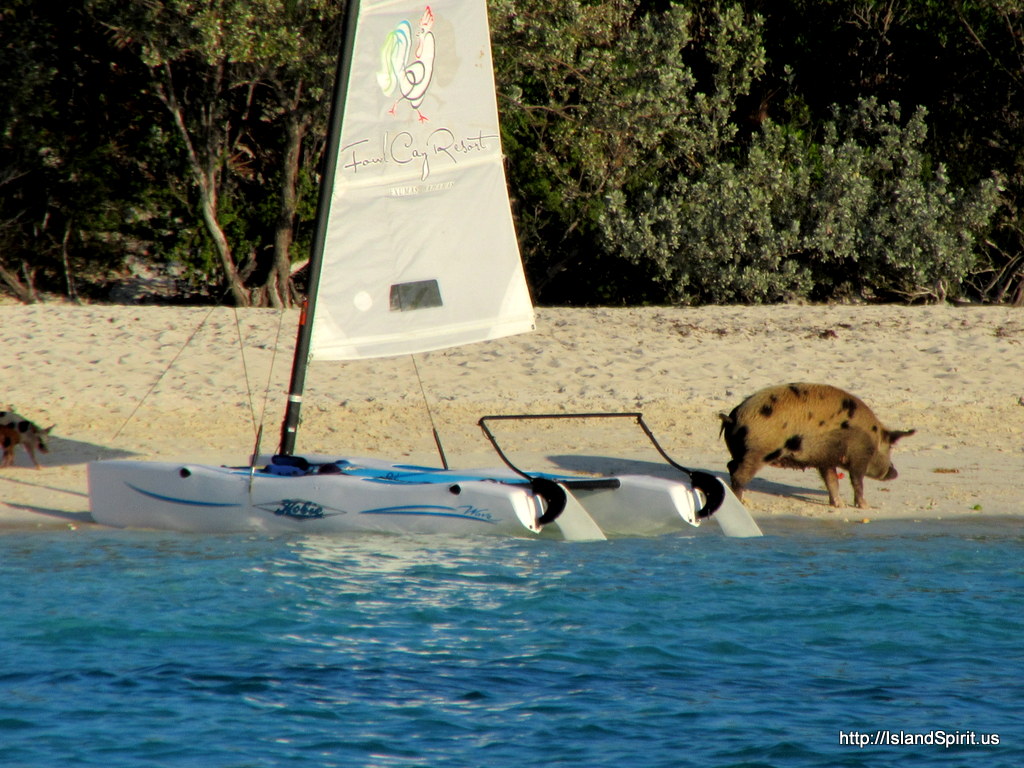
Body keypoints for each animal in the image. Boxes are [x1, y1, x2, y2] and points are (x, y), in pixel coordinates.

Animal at [719, 383, 914, 509]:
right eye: (889, 449)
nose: (894, 472)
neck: (872, 437)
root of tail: (733, 417)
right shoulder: (858, 457)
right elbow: (857, 481)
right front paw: (865, 507)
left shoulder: (826, 460)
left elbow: (832, 481)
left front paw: (839, 505)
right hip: (757, 452)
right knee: (739, 475)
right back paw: (741, 502)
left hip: (742, 452)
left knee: (730, 466)